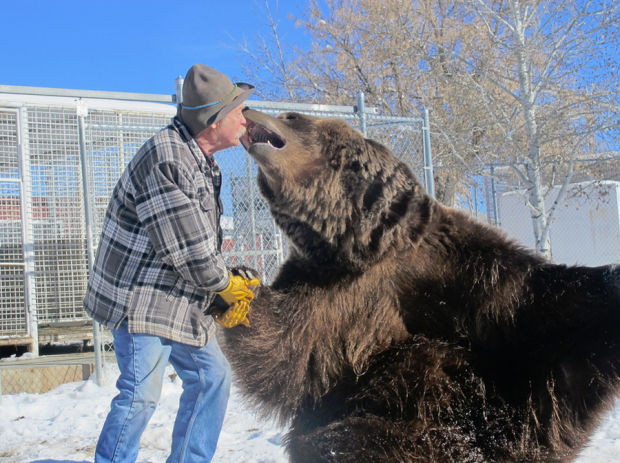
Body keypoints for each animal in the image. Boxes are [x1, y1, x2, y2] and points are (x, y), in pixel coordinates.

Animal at [218, 109, 620, 463]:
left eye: (291, 117)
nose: (250, 110)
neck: (368, 245)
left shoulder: (475, 276)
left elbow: (552, 311)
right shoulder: (329, 295)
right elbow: (284, 350)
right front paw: (240, 284)